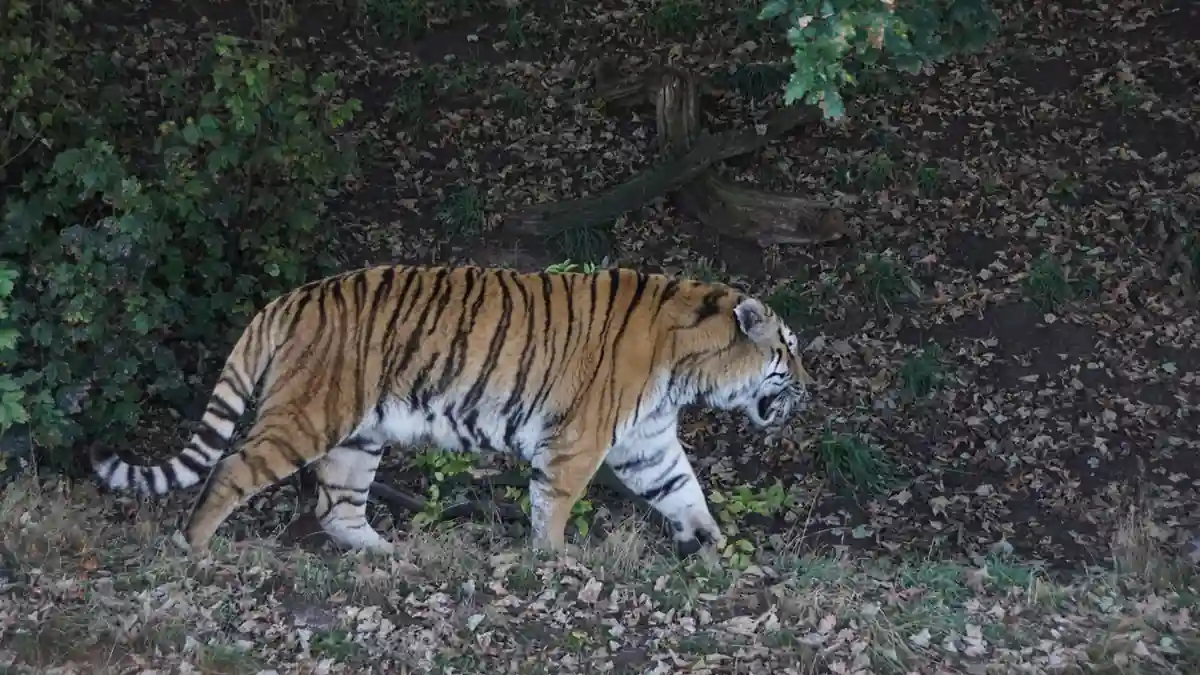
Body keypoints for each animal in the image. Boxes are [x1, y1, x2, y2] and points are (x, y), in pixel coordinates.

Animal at [91, 263, 814, 558]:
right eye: (787, 348)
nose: (808, 385)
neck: (689, 367)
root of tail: (292, 296)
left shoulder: (648, 441)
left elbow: (685, 491)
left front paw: (719, 546)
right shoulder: (577, 440)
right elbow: (554, 504)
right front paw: (554, 561)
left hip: (359, 435)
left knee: (337, 506)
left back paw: (387, 554)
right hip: (308, 415)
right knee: (233, 468)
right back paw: (194, 548)